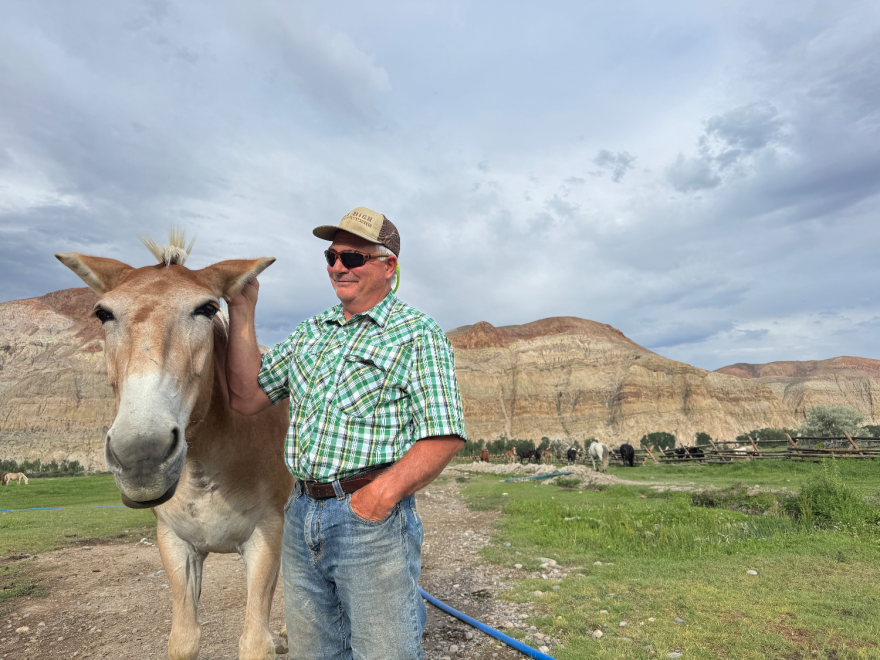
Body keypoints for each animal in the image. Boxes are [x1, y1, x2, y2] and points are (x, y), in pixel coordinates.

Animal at [57, 233, 293, 660]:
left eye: (208, 308)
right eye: (103, 314)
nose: (141, 456)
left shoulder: (265, 537)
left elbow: (254, 640)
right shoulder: (175, 544)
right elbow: (184, 639)